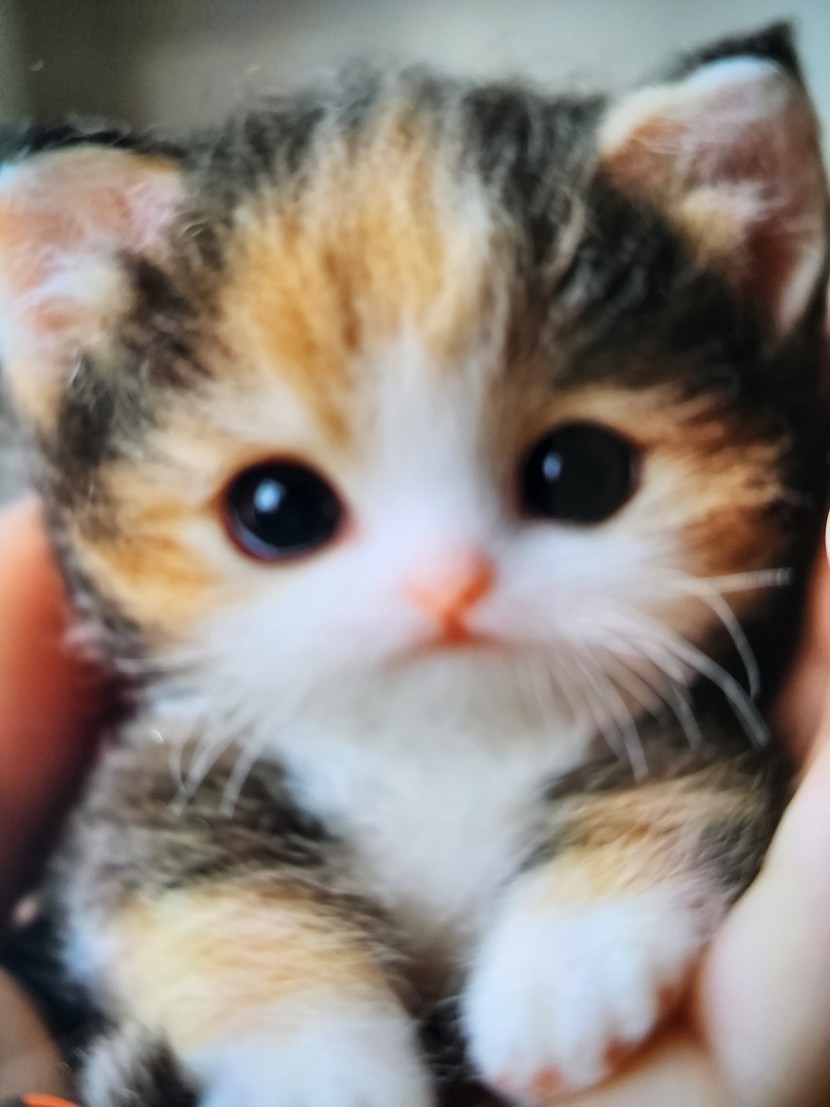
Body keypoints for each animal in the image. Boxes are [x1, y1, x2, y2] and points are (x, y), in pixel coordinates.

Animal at [0, 20, 827, 1107]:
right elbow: (196, 887)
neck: (439, 745)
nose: (449, 583)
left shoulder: (702, 709)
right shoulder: (147, 785)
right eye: (276, 510)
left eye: (579, 473)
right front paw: (324, 1070)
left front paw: (566, 975)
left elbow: (685, 788)